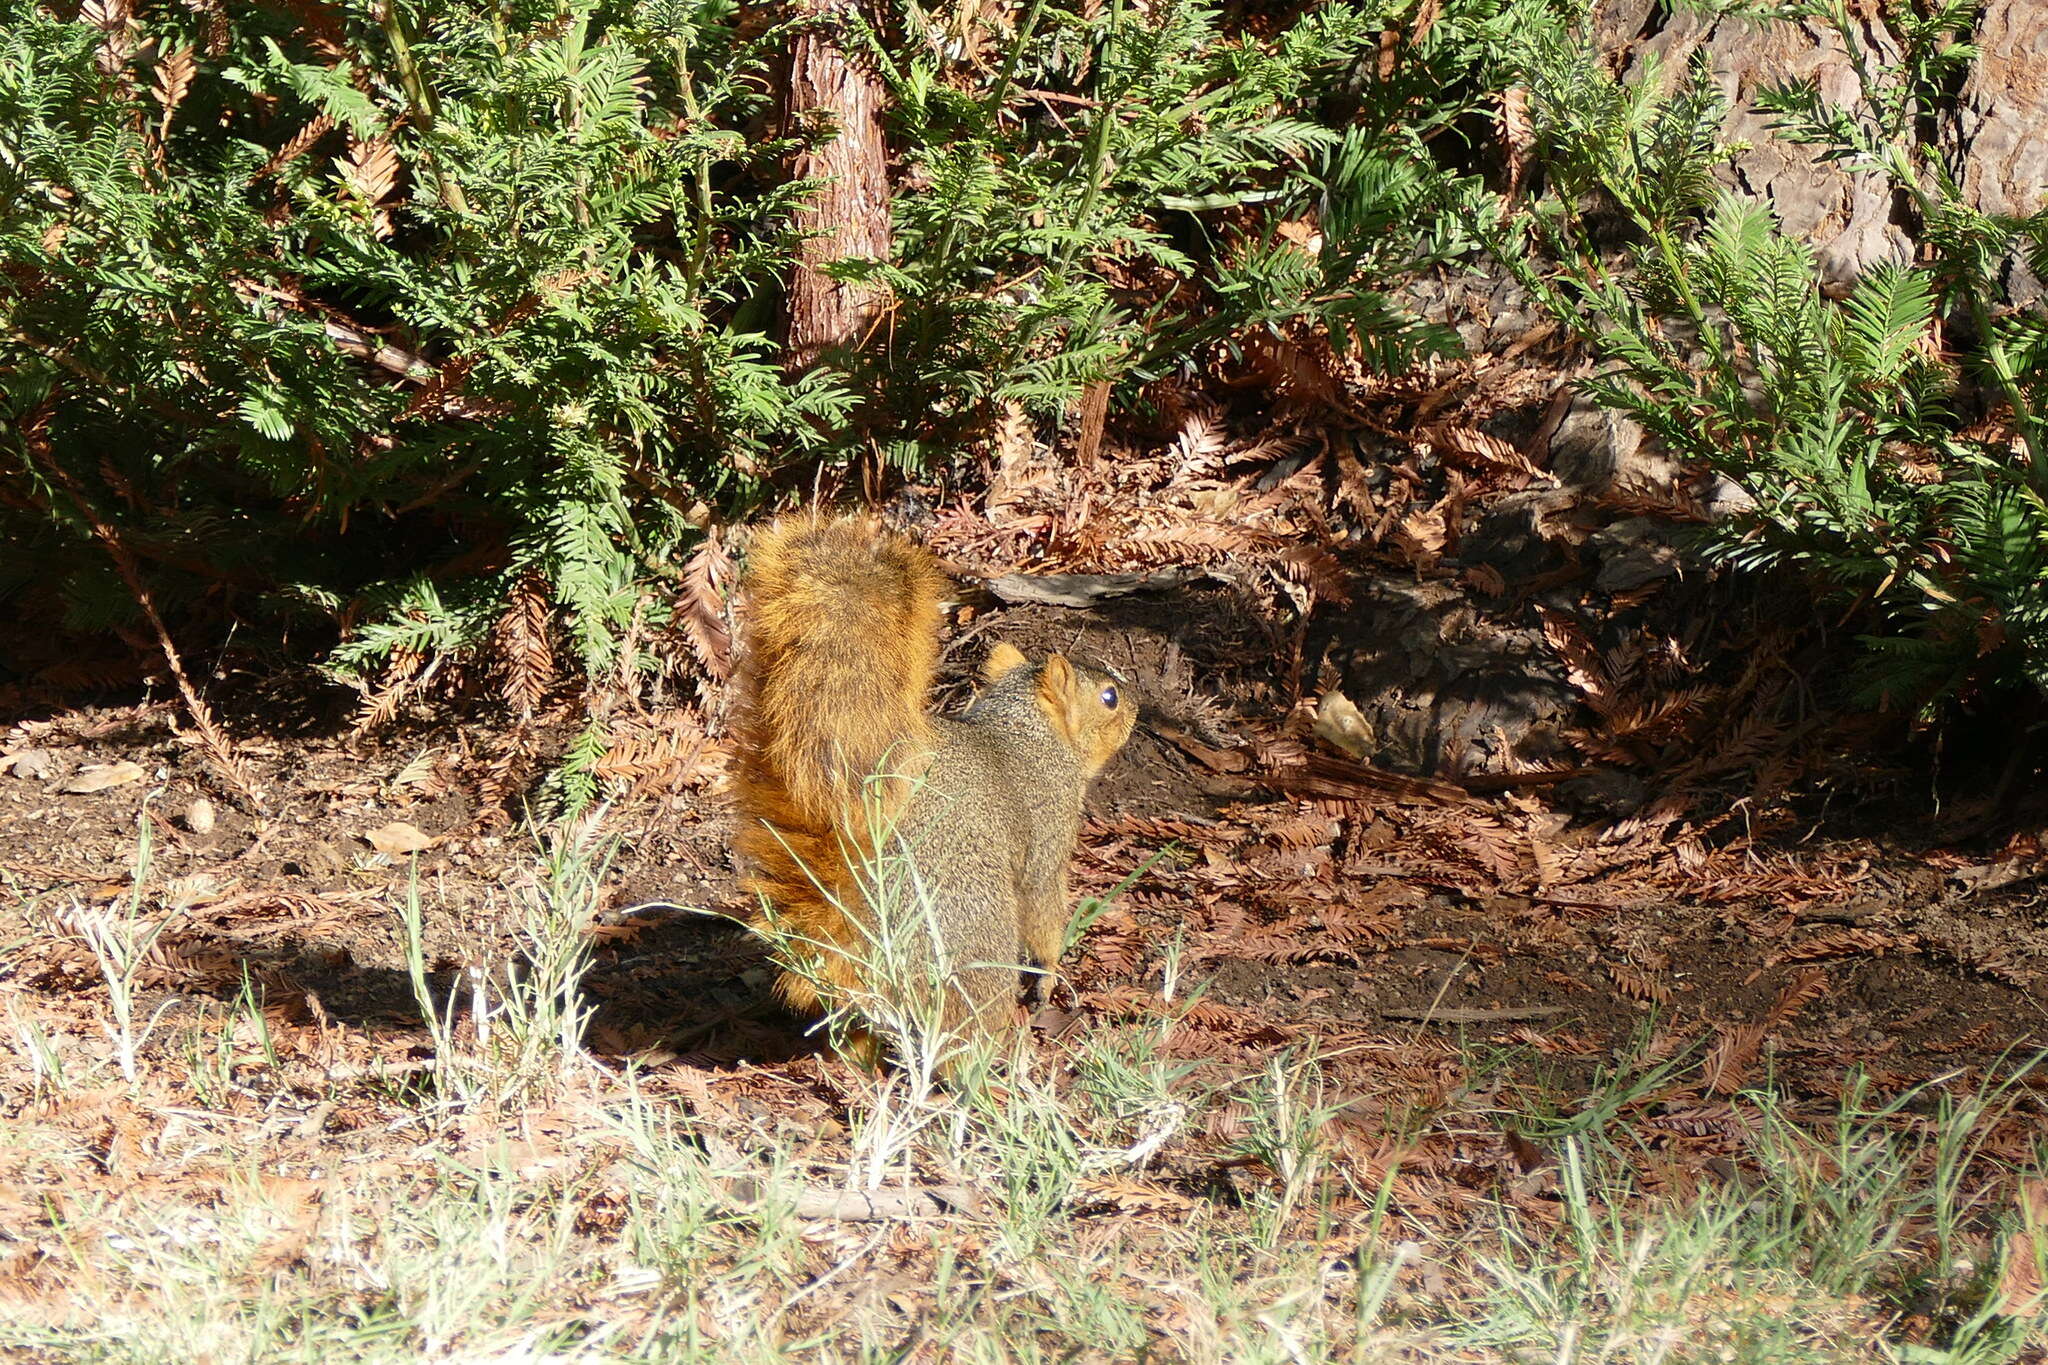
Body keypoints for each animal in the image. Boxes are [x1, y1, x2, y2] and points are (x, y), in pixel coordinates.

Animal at [733, 515, 1146, 1047]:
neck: (1025, 733)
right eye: (1109, 697)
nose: (1137, 705)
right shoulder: (1048, 829)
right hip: (967, 938)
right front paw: (1050, 974)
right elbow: (1043, 908)